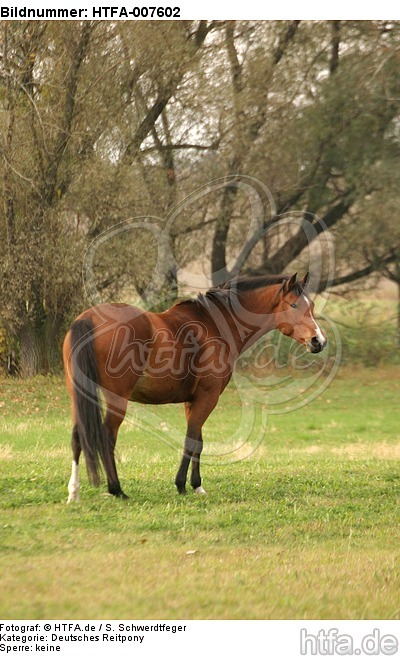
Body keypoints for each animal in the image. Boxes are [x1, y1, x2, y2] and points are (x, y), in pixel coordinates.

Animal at [62, 272, 327, 502]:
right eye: (293, 305)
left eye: (311, 305)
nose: (319, 341)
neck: (214, 324)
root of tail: (88, 318)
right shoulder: (208, 397)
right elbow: (191, 439)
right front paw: (181, 484)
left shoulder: (194, 400)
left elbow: (197, 439)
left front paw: (196, 485)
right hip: (117, 399)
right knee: (107, 436)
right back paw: (116, 489)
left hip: (78, 396)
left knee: (77, 437)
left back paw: (74, 492)